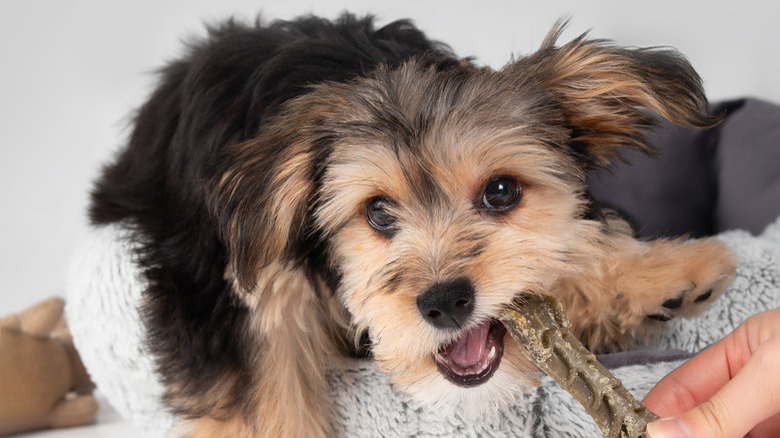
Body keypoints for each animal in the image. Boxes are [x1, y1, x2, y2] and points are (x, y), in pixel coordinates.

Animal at [88, 13, 736, 438]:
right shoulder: (232, 294)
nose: (445, 301)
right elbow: (262, 395)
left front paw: (656, 273)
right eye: (377, 211)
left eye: (501, 191)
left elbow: (576, 241)